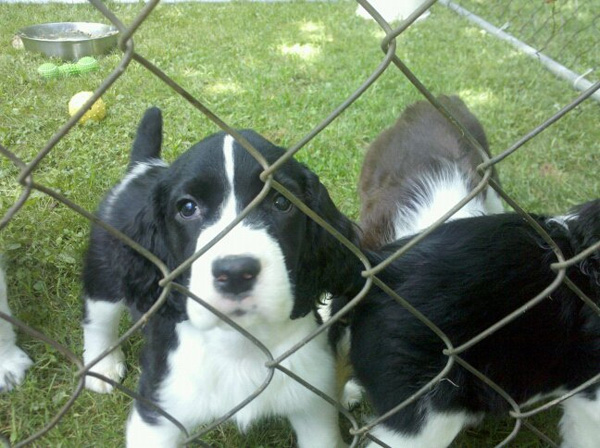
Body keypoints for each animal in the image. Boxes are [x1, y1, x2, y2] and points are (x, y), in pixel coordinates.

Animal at [81, 107, 350, 446]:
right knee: (98, 318)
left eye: (281, 202)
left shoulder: (313, 402)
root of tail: (144, 168)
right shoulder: (157, 414)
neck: (239, 341)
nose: (236, 272)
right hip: (105, 274)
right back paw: (103, 367)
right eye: (187, 207)